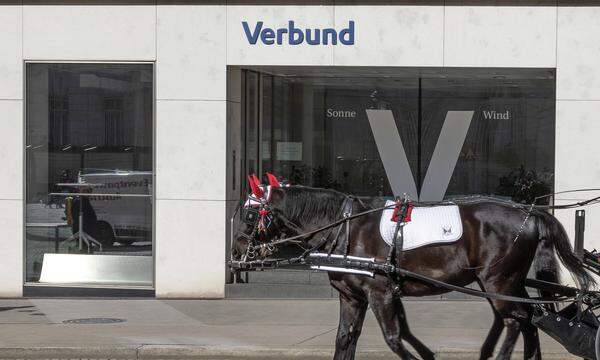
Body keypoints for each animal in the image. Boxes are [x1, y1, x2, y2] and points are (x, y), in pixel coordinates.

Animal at [232, 184, 592, 358]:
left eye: (249, 215)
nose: (234, 254)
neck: (346, 227)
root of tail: (529, 212)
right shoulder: (354, 296)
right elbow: (346, 338)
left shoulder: (379, 292)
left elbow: (393, 338)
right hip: (502, 283)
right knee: (528, 321)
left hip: (498, 281)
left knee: (516, 321)